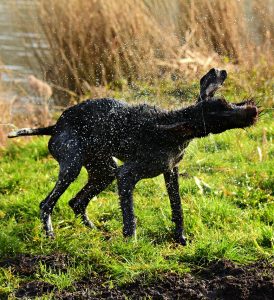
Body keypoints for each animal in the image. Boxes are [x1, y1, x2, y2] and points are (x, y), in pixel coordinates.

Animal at [7, 69, 258, 245]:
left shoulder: (170, 171)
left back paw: (95, 232)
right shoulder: (126, 175)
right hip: (73, 167)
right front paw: (131, 243)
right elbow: (130, 217)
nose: (253, 111)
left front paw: (180, 238)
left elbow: (177, 210)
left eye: (227, 102)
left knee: (76, 202)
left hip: (104, 171)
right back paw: (50, 235)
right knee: (47, 204)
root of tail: (55, 126)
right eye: (220, 112)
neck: (170, 127)